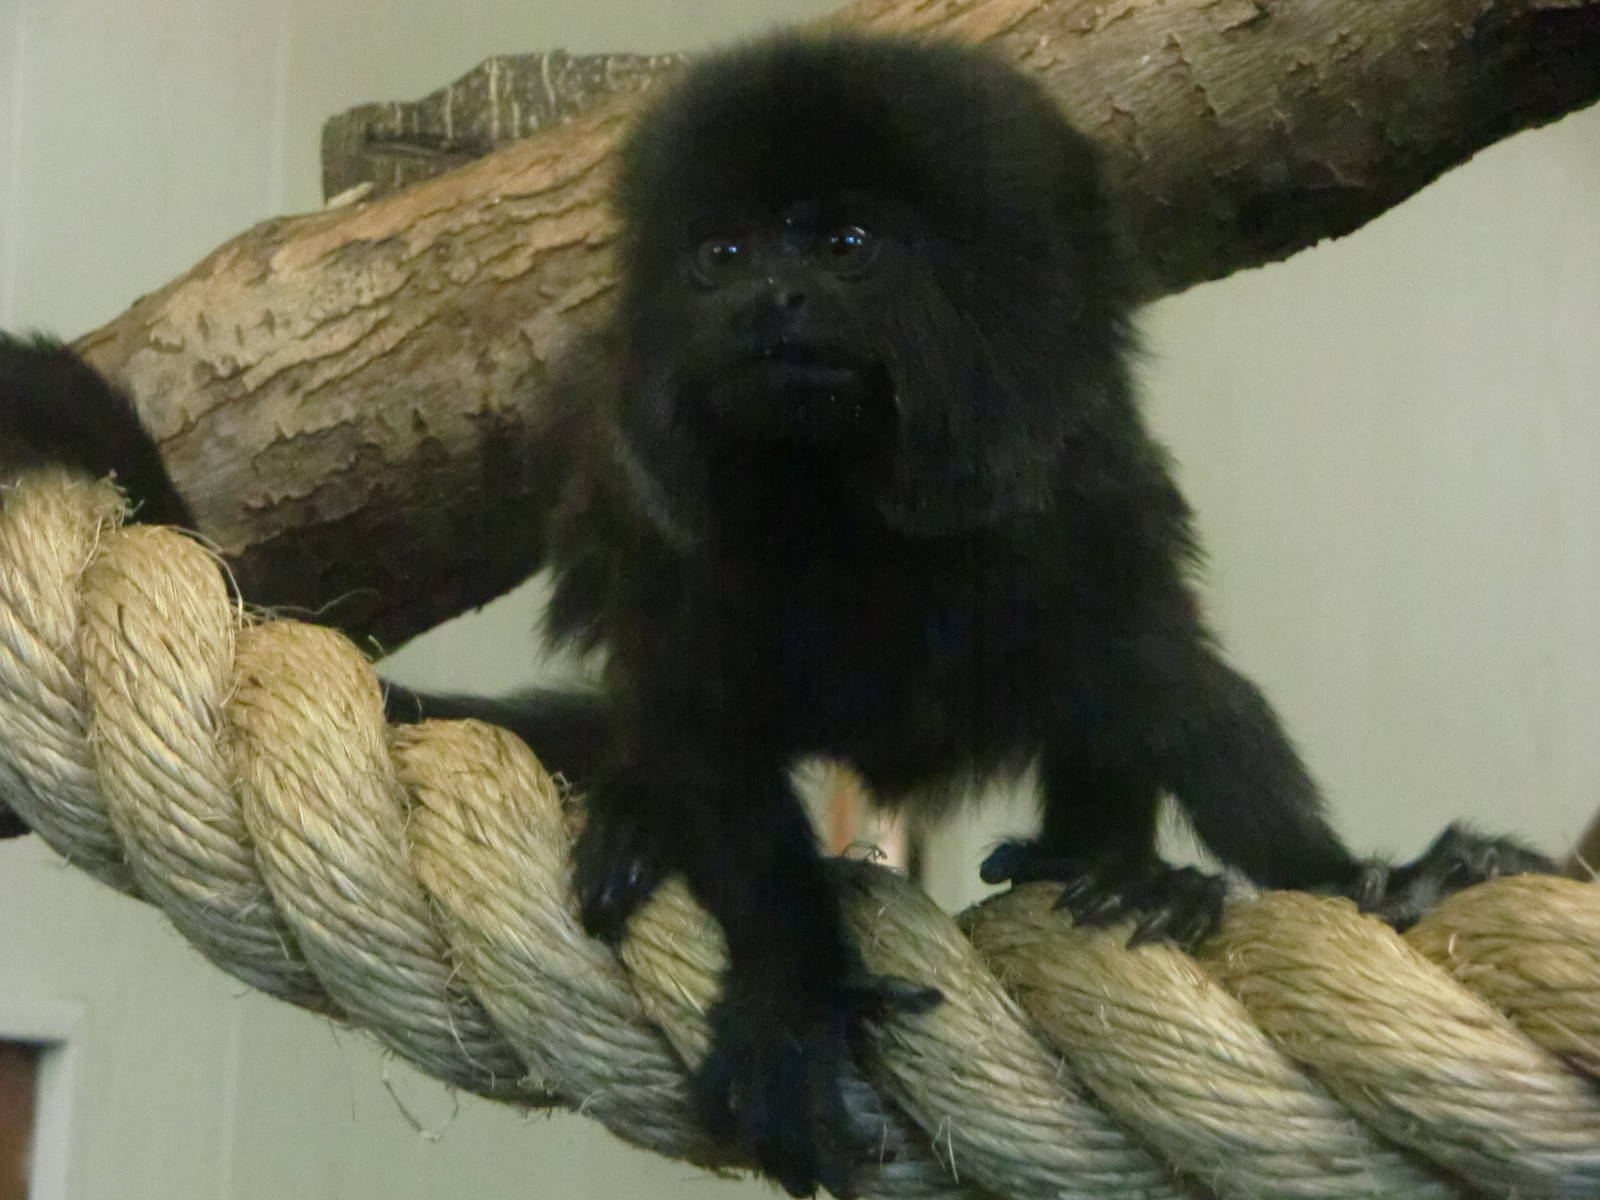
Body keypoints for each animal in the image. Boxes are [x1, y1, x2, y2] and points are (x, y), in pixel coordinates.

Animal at [0, 33, 1555, 1199]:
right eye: (726, 255)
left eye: (845, 243)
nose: (773, 300)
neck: (844, 498)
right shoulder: (676, 541)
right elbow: (715, 747)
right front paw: (795, 1000)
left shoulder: (1077, 502)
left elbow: (1184, 699)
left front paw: (1364, 881)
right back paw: (639, 814)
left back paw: (1112, 866)